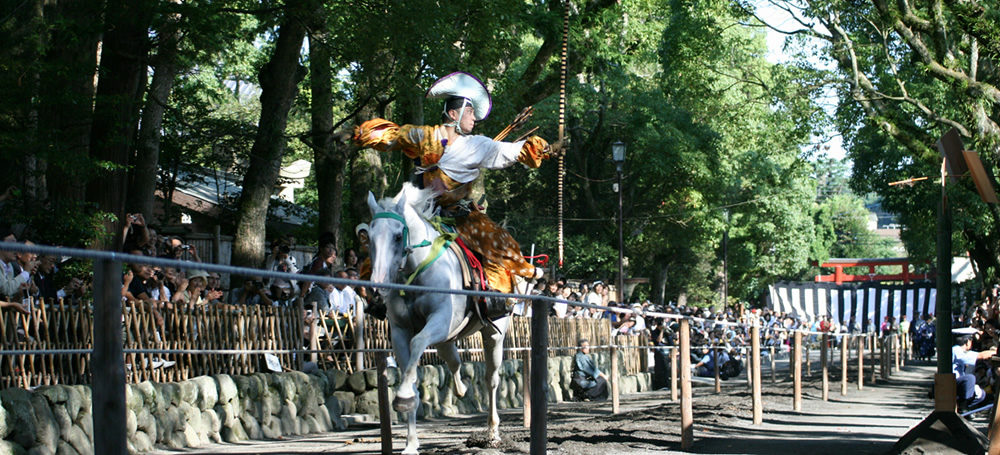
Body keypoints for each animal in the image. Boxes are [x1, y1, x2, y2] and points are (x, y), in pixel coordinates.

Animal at [368, 183, 508, 454]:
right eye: (369, 238)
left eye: (398, 236)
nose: (378, 286)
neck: (416, 273)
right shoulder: (400, 331)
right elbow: (411, 373)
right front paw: (411, 442)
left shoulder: (441, 321)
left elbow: (418, 344)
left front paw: (402, 396)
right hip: (447, 340)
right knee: (454, 362)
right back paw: (461, 390)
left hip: (494, 334)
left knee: (491, 379)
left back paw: (493, 432)